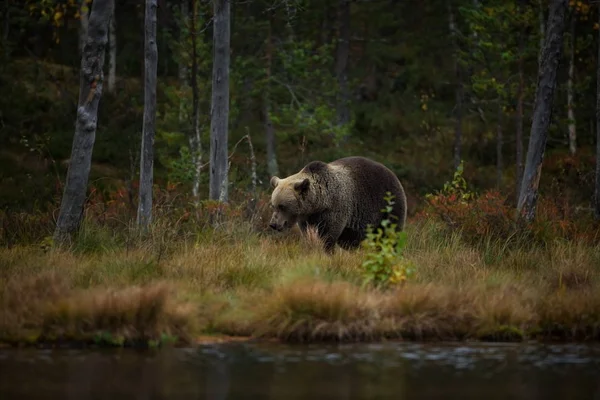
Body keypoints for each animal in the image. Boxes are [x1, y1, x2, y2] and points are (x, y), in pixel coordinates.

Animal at [268, 155, 406, 253]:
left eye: (282, 206)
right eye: (273, 205)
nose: (273, 224)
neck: (319, 203)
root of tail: (393, 174)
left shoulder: (334, 209)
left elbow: (328, 236)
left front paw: (327, 251)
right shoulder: (308, 218)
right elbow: (308, 234)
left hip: (387, 205)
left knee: (390, 233)